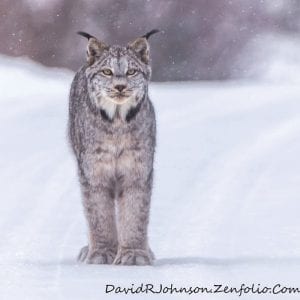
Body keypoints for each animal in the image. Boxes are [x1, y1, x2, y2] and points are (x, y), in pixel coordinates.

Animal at [67, 29, 158, 264]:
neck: (117, 121)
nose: (120, 87)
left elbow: (136, 212)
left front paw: (134, 253)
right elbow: (98, 213)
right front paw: (102, 252)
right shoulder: (93, 172)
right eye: (107, 72)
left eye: (132, 71)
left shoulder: (137, 169)